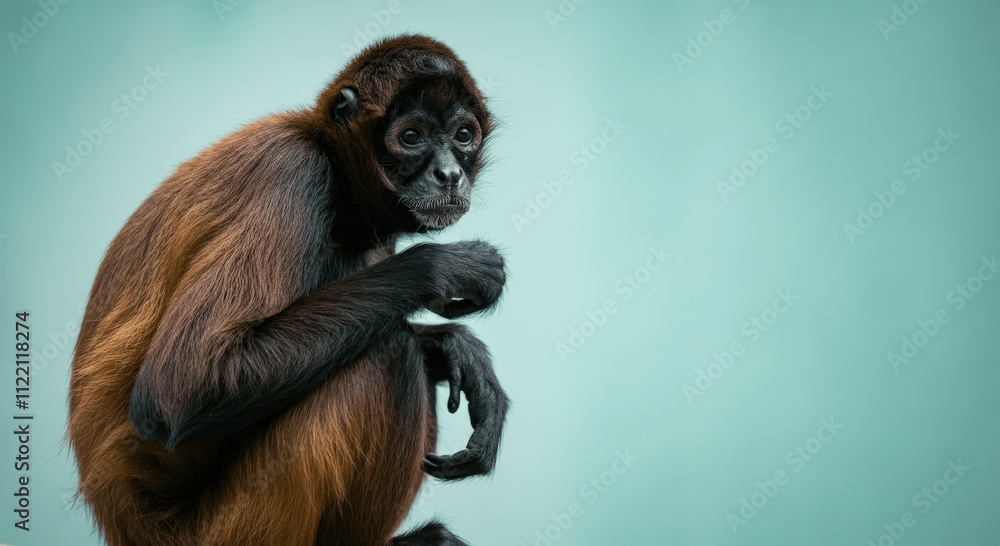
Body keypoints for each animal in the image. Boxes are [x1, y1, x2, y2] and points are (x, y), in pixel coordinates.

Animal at [67, 34, 509, 546]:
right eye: (411, 137)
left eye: (463, 135)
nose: (450, 174)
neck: (336, 174)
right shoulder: (293, 174)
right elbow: (177, 389)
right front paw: (438, 268)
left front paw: (456, 347)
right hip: (230, 524)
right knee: (389, 350)